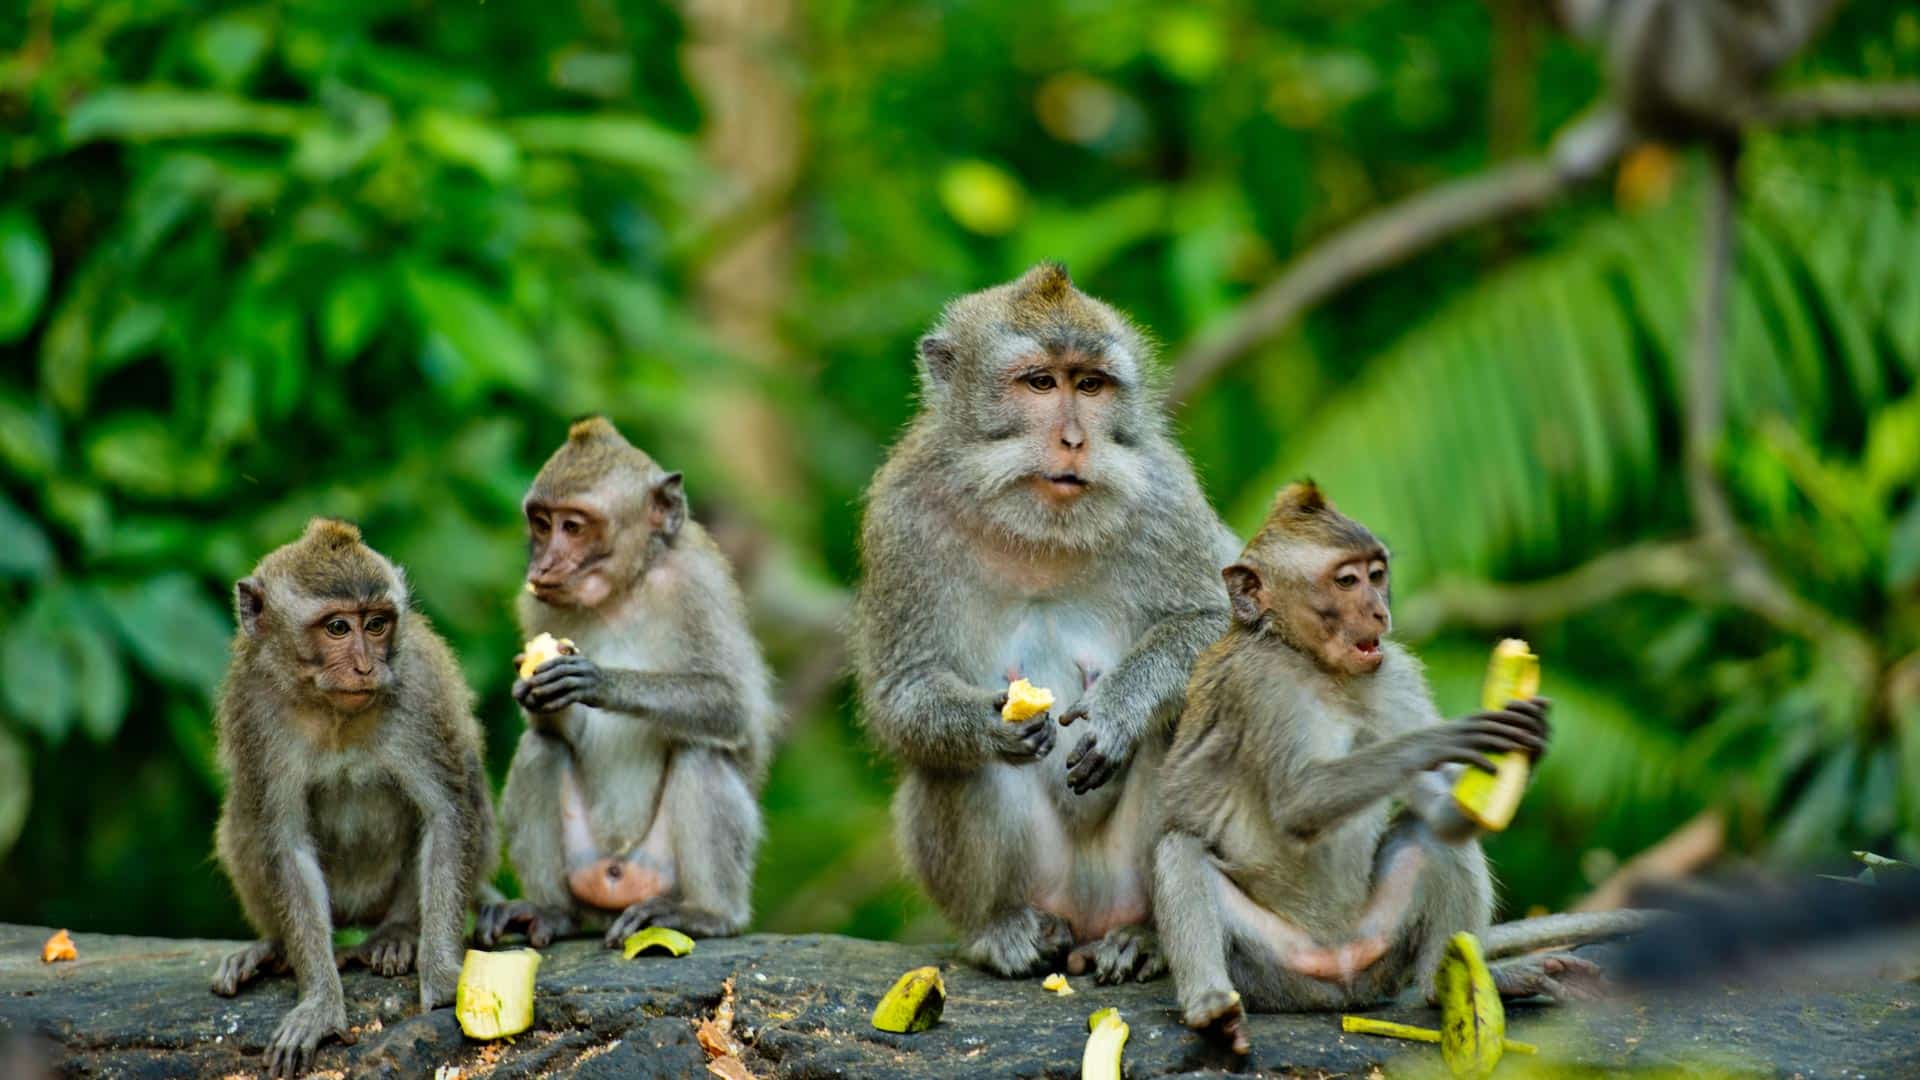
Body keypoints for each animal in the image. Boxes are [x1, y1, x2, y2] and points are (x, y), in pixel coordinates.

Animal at [208, 518, 503, 1068]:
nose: (366, 667)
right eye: (337, 628)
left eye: (377, 624)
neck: (331, 710)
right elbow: (285, 842)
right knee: (243, 818)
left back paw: (397, 935)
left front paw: (442, 975)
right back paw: (272, 947)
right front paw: (320, 1002)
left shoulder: (418, 691)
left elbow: (447, 815)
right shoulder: (254, 706)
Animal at [476, 417, 775, 945]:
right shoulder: (535, 605)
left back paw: (707, 913)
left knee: (701, 752)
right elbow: (547, 730)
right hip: (586, 867)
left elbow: (732, 705)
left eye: (574, 527)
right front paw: (531, 695)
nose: (542, 565)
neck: (622, 592)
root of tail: (616, 878)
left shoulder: (696, 587)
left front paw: (600, 681)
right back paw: (551, 911)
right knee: (540, 750)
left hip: (658, 868)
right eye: (541, 523)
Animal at [848, 263, 1236, 983]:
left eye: (1090, 385)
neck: (1039, 530)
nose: (1075, 441)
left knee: (1186, 723)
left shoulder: (1167, 494)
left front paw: (1118, 709)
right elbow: (902, 692)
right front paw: (990, 723)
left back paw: (1145, 936)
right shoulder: (901, 514)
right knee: (951, 766)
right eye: (1039, 383)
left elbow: (1218, 625)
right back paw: (1002, 930)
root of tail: (1086, 913)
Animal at [1144, 480, 1643, 1053]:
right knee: (1180, 849)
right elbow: (1298, 802)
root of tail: (1337, 971)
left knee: (1431, 837)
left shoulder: (1394, 672)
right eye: (1346, 581)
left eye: (1377, 574)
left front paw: (1530, 740)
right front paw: (1443, 739)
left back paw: (1450, 985)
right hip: (1270, 966)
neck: (1313, 663)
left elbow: (1445, 816)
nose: (1380, 613)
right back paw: (1212, 1008)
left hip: (1379, 944)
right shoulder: (1259, 684)